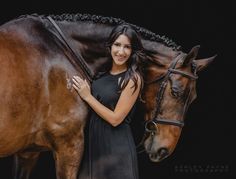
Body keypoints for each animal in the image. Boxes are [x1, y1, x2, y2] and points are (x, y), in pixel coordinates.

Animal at [0, 13, 215, 178]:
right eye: (176, 92)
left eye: (193, 99)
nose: (164, 150)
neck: (60, 51)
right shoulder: (69, 146)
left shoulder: (28, 153)